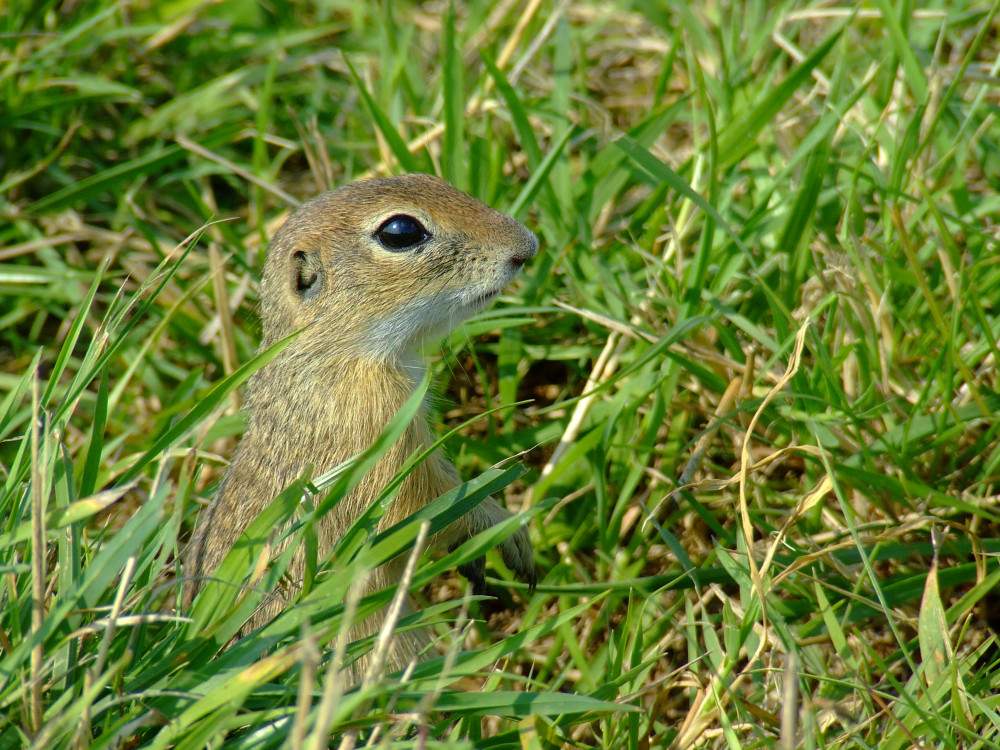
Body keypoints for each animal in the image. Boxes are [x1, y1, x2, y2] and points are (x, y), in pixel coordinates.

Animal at [186, 173, 540, 672]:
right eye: (400, 232)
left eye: (435, 179)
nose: (527, 247)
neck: (334, 353)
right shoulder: (377, 437)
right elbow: (421, 507)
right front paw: (505, 528)